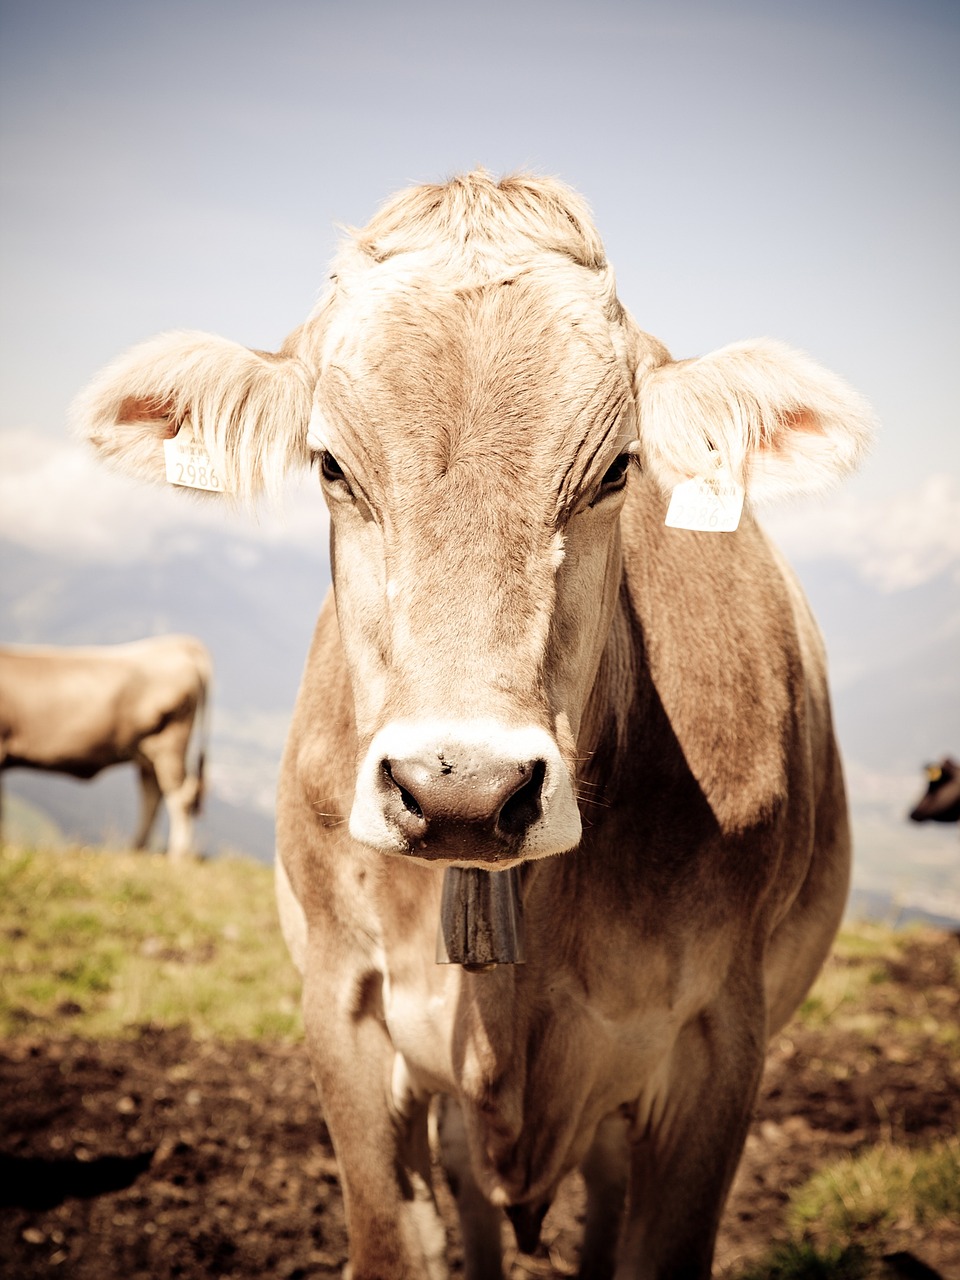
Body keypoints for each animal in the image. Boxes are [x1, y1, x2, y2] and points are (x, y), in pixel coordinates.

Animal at [0, 632, 211, 860]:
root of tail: (179, 642)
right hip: (148, 752)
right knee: (152, 795)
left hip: (170, 743)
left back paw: (177, 854)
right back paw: (137, 849)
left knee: (180, 796)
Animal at [71, 172, 875, 1280]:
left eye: (617, 468)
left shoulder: (719, 1038)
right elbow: (391, 1237)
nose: (463, 789)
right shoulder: (346, 1005)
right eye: (331, 465)